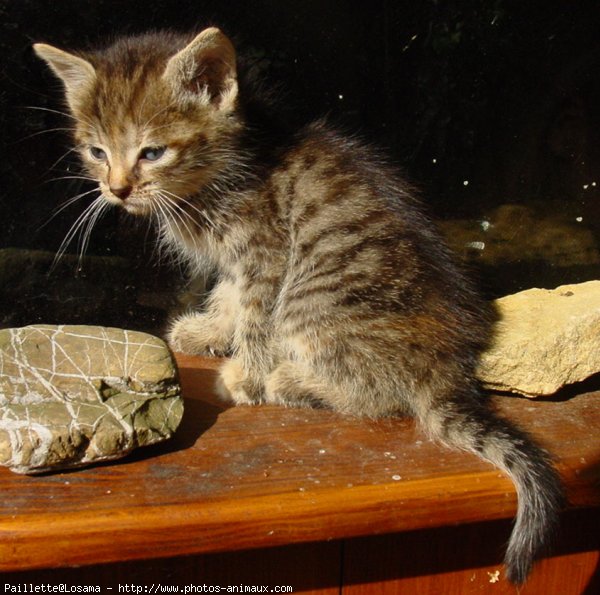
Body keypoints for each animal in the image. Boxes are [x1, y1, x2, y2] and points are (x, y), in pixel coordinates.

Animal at [36, 28, 564, 584]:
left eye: (153, 152)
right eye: (97, 151)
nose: (117, 189)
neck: (230, 170)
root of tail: (447, 370)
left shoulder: (267, 251)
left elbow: (255, 316)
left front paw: (245, 374)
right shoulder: (238, 261)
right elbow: (230, 296)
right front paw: (208, 333)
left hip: (310, 299)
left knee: (380, 395)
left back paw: (288, 379)